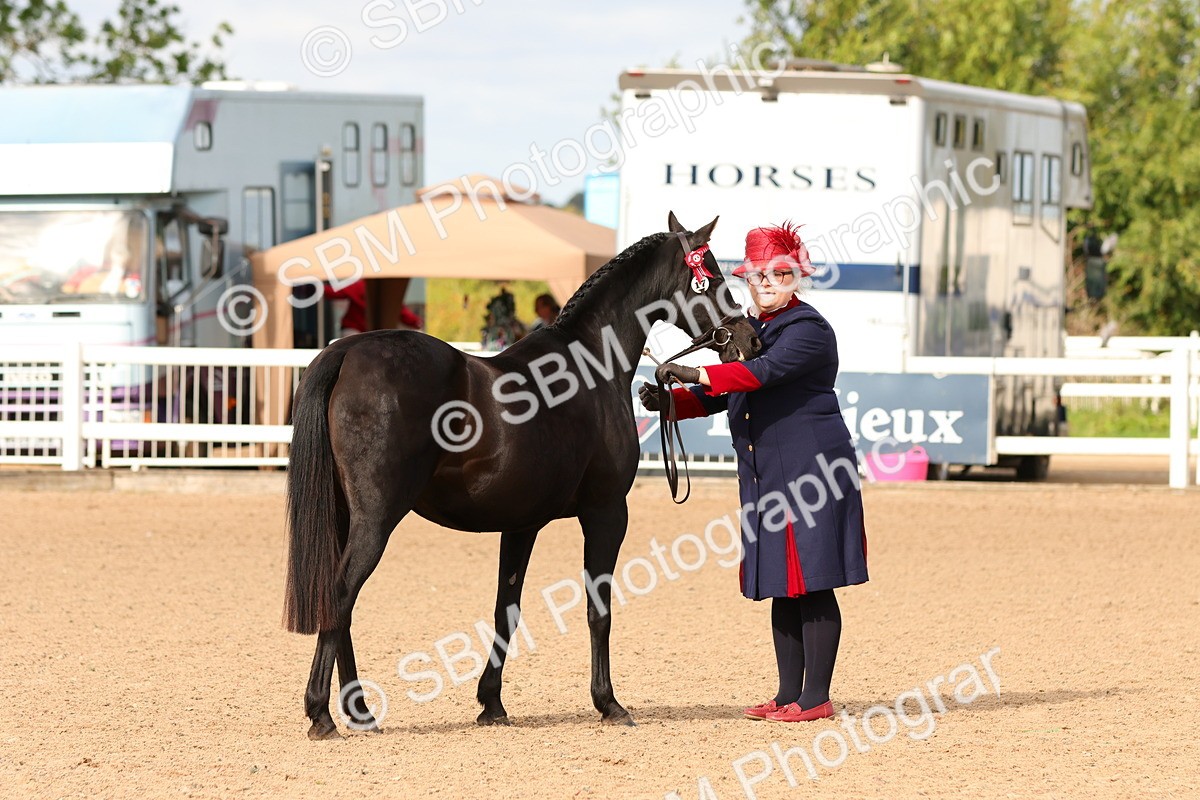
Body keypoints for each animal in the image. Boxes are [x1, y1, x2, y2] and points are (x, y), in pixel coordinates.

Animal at [283, 212, 763, 739]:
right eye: (713, 276)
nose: (750, 339)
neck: (588, 366)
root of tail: (347, 351)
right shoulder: (606, 513)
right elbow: (598, 609)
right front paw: (609, 703)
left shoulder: (520, 525)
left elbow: (505, 609)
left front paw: (491, 703)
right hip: (376, 518)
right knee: (340, 593)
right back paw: (322, 712)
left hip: (346, 516)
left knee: (342, 603)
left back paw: (361, 711)